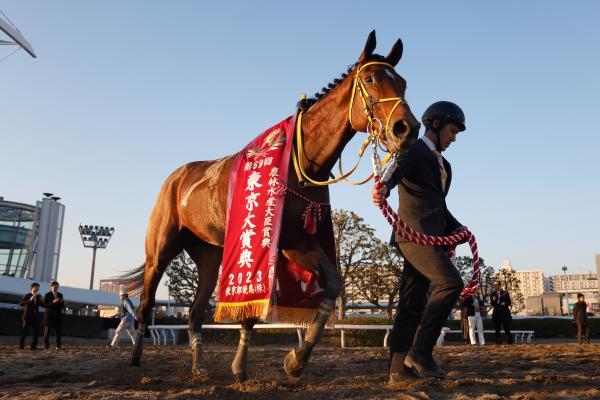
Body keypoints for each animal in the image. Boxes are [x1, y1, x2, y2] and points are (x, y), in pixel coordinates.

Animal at [124, 30, 420, 382]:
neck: (299, 162)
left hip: (209, 255)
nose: (407, 128)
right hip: (161, 250)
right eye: (371, 78)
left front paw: (296, 360)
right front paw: (241, 367)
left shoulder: (297, 242)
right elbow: (253, 308)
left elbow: (333, 283)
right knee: (146, 304)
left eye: (402, 83)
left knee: (195, 313)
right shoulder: (267, 243)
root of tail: (177, 177)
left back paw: (199, 366)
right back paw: (136, 358)